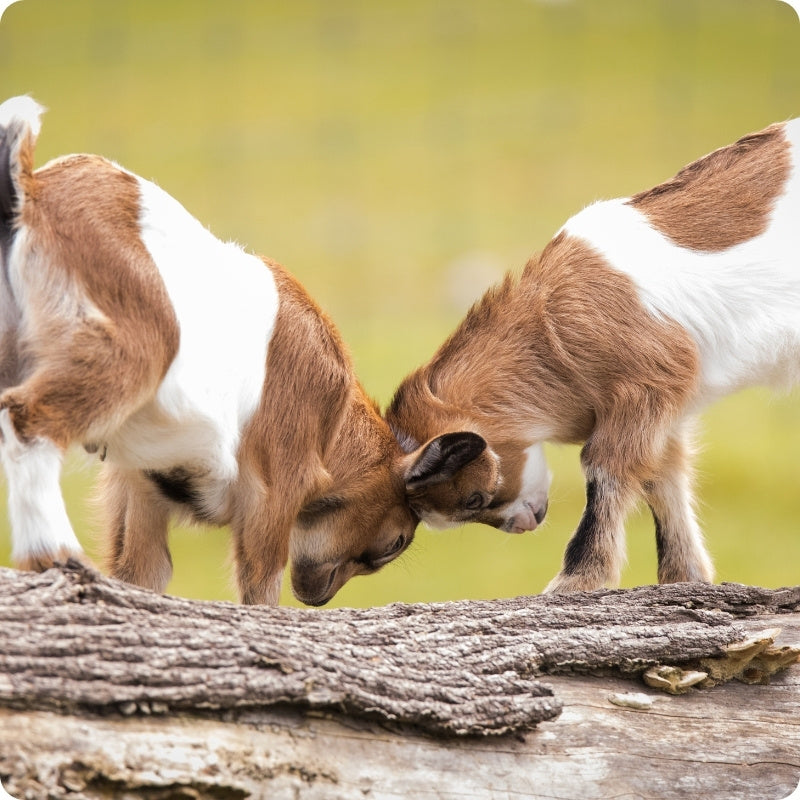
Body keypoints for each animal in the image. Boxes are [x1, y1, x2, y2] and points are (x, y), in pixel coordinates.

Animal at [0, 95, 416, 606]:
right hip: (129, 348)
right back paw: (53, 554)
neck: (333, 418)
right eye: (396, 541)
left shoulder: (138, 484)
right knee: (26, 418)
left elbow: (143, 570)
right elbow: (260, 581)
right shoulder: (276, 481)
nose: (318, 595)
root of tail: (33, 190)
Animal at [386, 118, 800, 592]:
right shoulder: (664, 410)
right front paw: (683, 578)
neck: (553, 323)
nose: (523, 523)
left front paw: (576, 581)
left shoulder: (644, 387)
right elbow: (663, 475)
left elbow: (605, 469)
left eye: (474, 498)